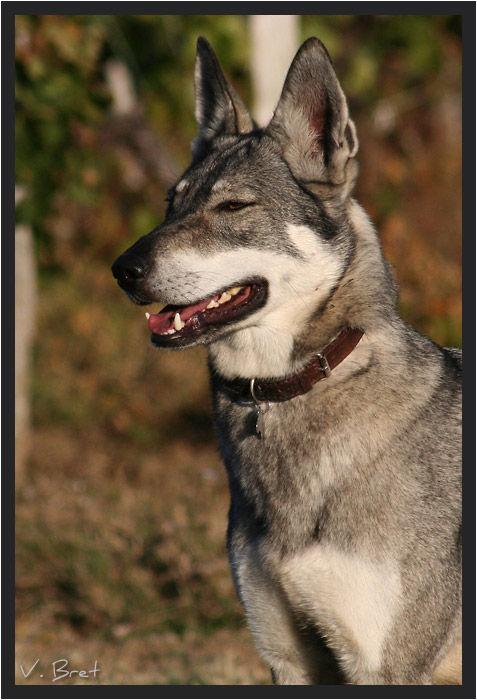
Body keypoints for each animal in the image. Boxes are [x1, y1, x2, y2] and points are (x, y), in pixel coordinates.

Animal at [111, 37, 462, 684]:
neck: (288, 392)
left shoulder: (389, 668)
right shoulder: (288, 661)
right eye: (171, 204)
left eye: (232, 206)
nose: (123, 270)